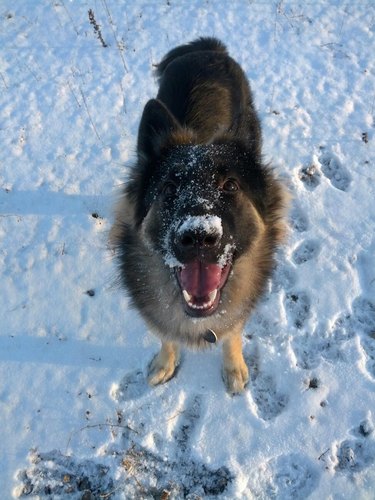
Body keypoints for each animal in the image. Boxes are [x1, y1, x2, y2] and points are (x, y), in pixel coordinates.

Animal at [110, 37, 290, 392]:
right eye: (169, 187)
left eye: (230, 185)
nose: (198, 238)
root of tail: (209, 49)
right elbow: (166, 335)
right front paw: (165, 362)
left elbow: (232, 333)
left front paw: (234, 367)